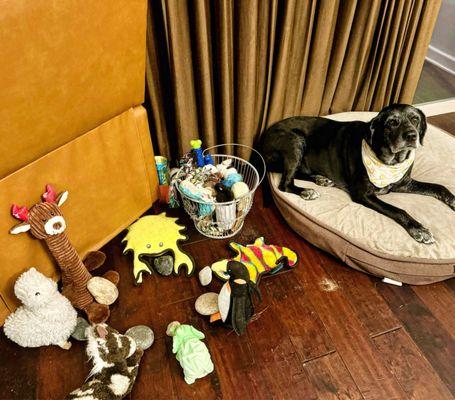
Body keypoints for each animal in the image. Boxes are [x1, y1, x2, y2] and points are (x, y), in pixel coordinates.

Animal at [260, 104, 455, 244]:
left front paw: (452, 200)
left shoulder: (404, 184)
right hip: (295, 141)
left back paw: (321, 179)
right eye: (392, 122)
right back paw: (306, 191)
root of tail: (262, 140)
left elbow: (438, 187)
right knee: (285, 183)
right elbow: (399, 210)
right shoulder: (364, 195)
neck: (390, 160)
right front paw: (419, 229)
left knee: (298, 173)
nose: (411, 136)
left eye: (415, 119)